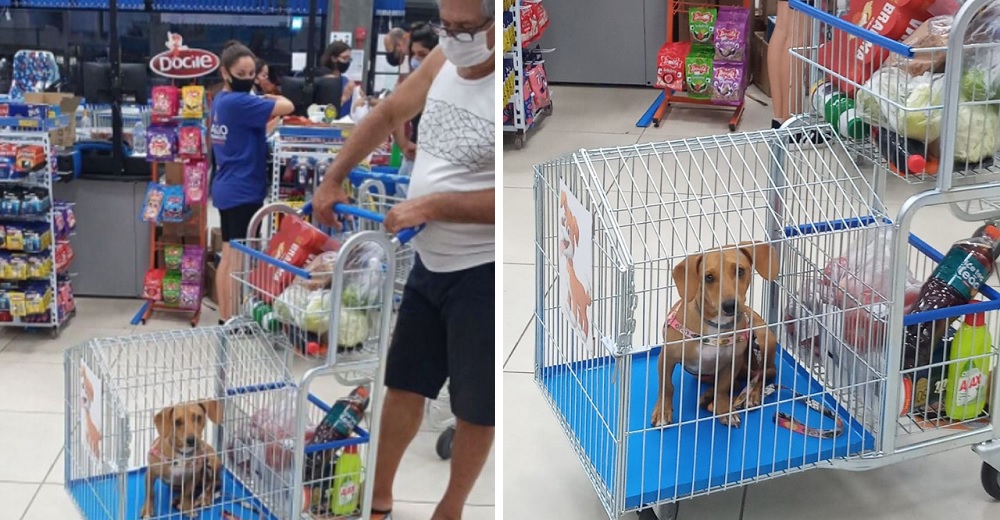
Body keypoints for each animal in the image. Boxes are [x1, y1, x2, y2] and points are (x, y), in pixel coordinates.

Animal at [648, 242, 780, 428]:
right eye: (708, 277)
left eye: (740, 271)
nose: (730, 305)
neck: (716, 326)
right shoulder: (666, 357)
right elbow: (666, 386)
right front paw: (662, 412)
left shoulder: (733, 362)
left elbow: (723, 387)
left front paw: (724, 409)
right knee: (738, 381)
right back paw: (708, 397)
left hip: (764, 340)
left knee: (765, 372)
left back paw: (750, 395)